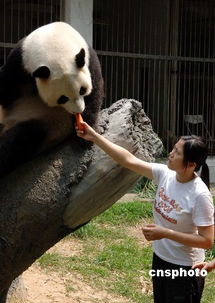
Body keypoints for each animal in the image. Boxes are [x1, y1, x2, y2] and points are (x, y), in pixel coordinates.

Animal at [0, 22, 103, 178]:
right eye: (63, 98)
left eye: (82, 90)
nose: (78, 110)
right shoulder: (19, 61)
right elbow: (6, 88)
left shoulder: (90, 60)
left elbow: (95, 94)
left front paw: (85, 135)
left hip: (43, 124)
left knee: (19, 140)